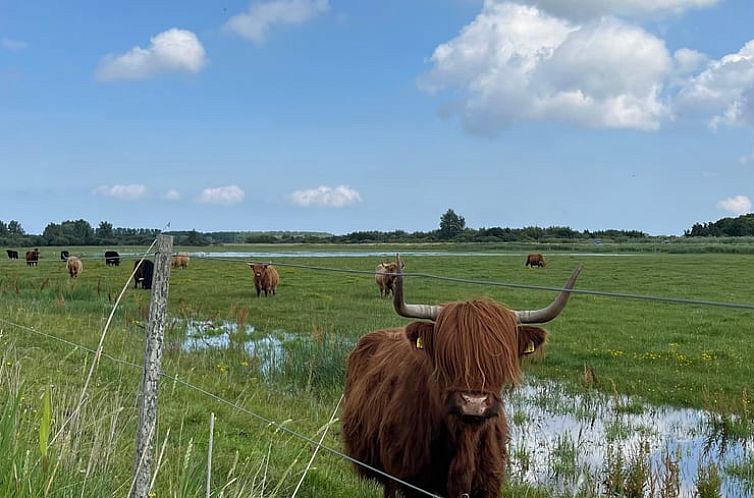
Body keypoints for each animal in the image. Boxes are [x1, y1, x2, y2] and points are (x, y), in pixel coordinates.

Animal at [342, 256, 580, 498]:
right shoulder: (411, 482)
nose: (474, 404)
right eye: (447, 356)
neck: (465, 439)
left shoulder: (489, 484)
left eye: (500, 359)